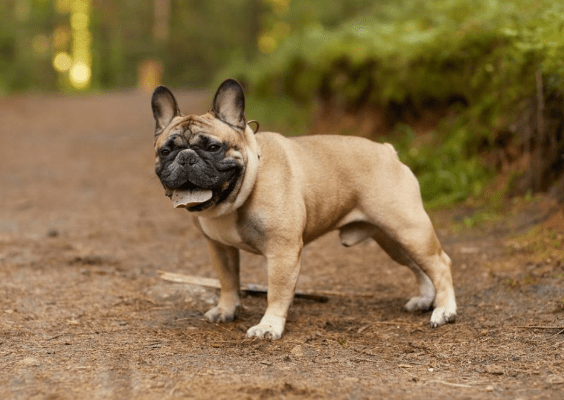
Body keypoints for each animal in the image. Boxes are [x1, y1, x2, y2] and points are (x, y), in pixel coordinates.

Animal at [152, 79, 456, 340]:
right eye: (165, 151)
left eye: (214, 147)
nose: (186, 157)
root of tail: (388, 151)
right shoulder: (219, 247)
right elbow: (228, 281)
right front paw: (226, 310)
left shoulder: (282, 252)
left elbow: (276, 292)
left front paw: (269, 326)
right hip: (392, 239)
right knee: (419, 266)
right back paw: (426, 300)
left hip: (409, 228)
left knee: (440, 264)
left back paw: (444, 310)